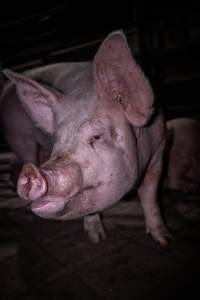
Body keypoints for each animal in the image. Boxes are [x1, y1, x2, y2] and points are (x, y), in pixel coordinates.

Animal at [0, 31, 172, 245]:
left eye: (97, 136)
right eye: (56, 141)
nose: (33, 173)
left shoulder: (159, 149)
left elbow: (149, 194)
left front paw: (165, 240)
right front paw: (97, 239)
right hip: (19, 135)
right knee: (24, 156)